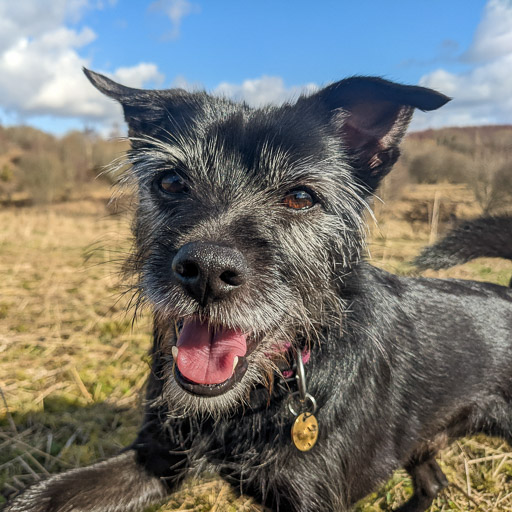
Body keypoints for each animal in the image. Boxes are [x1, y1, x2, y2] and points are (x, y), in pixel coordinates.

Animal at [5, 69, 512, 512]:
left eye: (302, 197)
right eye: (170, 181)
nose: (206, 271)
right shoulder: (156, 458)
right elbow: (38, 496)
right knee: (433, 481)